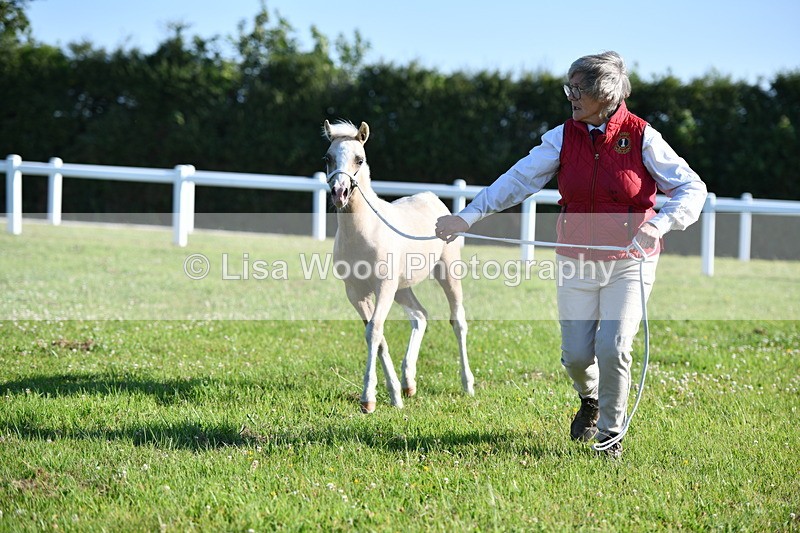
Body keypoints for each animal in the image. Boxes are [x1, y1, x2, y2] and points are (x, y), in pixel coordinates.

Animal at [322, 119, 475, 413]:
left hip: (447, 272)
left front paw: (368, 399)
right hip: (402, 288)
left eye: (359, 159)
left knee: (458, 321)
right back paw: (408, 383)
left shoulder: (383, 287)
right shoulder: (356, 292)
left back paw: (468, 384)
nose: (339, 193)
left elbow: (374, 332)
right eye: (328, 157)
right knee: (420, 316)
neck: (364, 232)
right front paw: (394, 395)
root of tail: (432, 198)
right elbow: (378, 336)